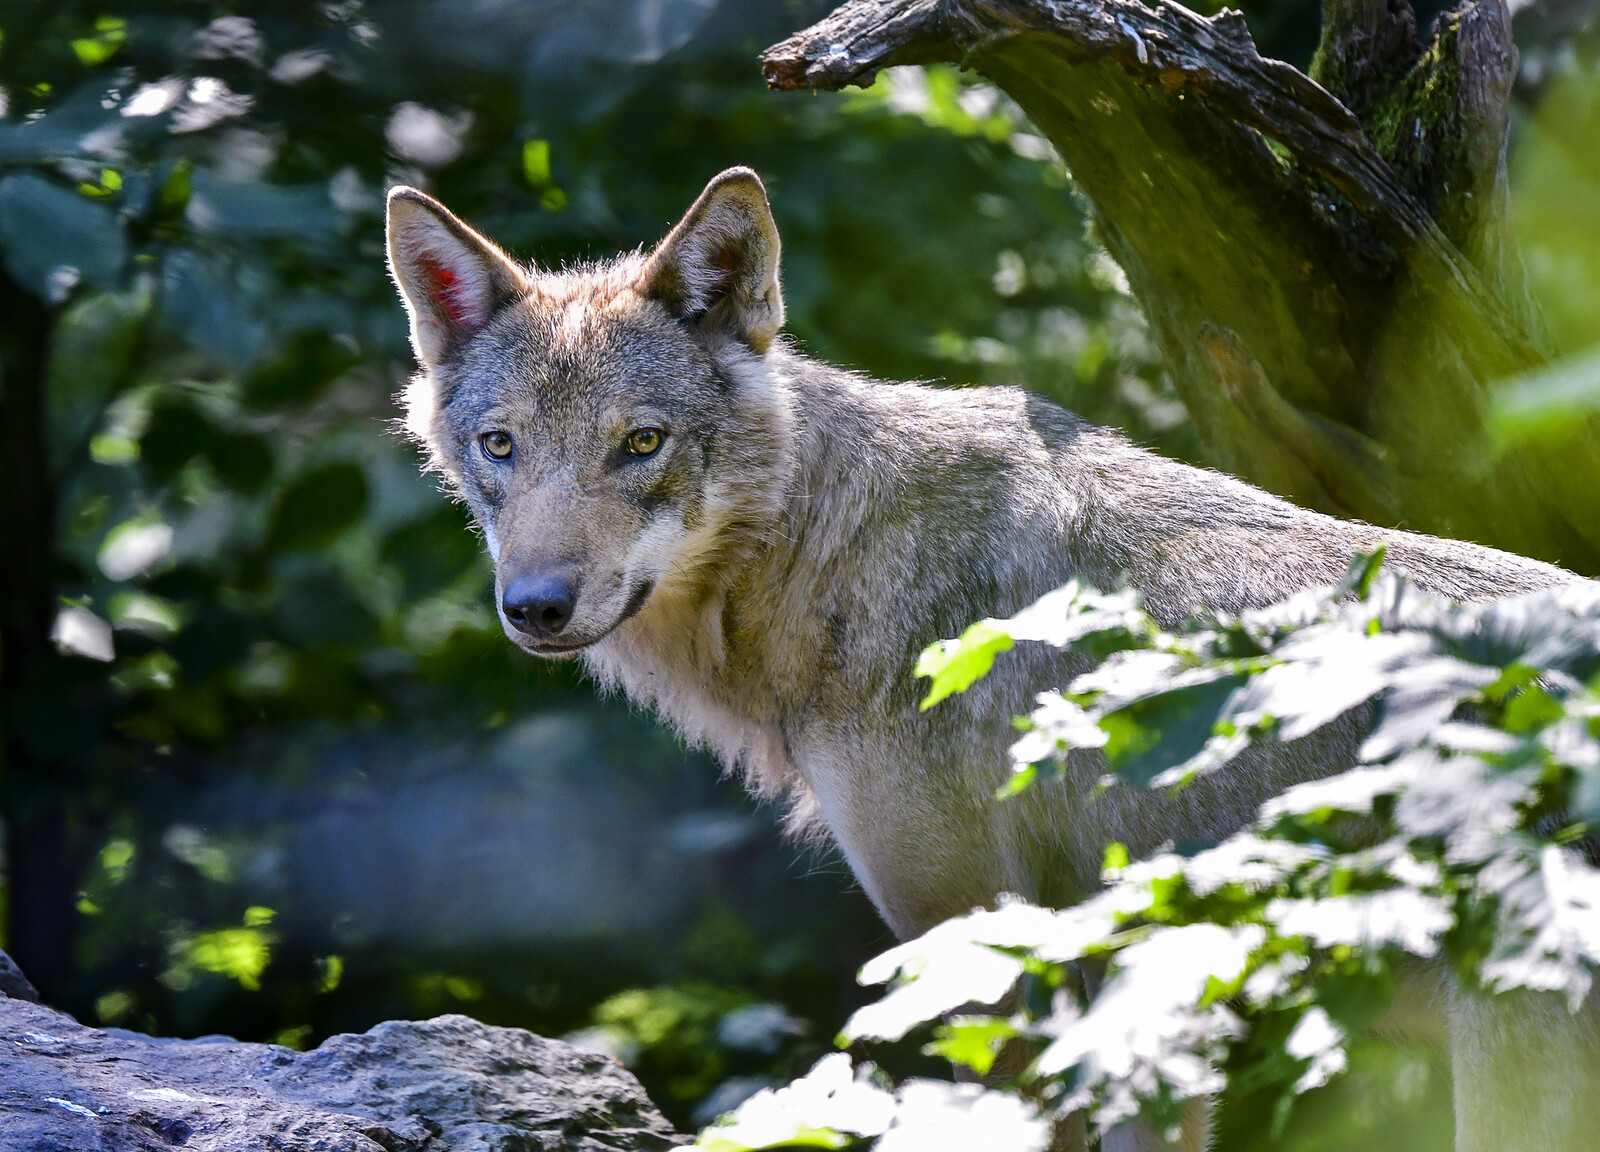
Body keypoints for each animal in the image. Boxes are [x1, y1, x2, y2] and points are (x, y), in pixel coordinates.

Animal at [386, 167, 1598, 1150]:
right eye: (500, 447)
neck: (826, 549)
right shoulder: (1139, 996)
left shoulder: (987, 971)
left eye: (641, 443)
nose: (536, 607)